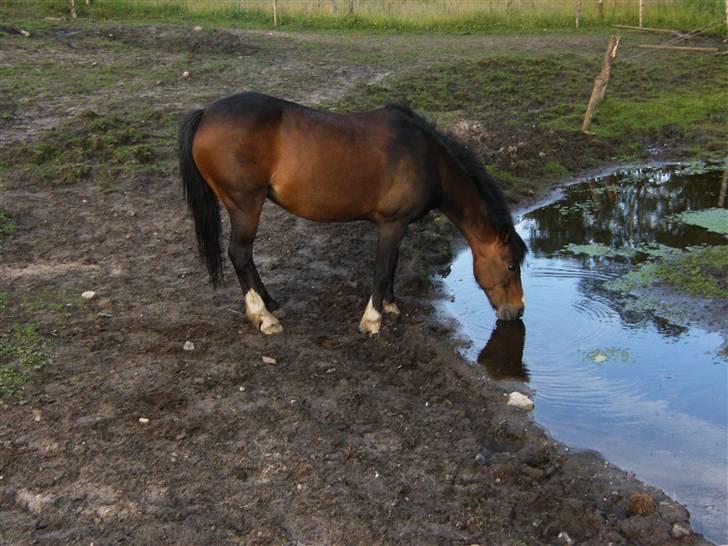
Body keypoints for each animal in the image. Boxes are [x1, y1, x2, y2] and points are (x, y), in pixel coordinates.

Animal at [179, 91, 528, 334]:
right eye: (511, 266)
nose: (518, 311)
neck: (427, 159)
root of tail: (206, 114)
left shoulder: (396, 226)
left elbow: (393, 264)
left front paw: (390, 306)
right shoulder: (392, 224)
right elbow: (383, 268)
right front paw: (372, 319)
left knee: (246, 257)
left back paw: (271, 303)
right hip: (245, 206)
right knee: (239, 254)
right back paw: (264, 317)